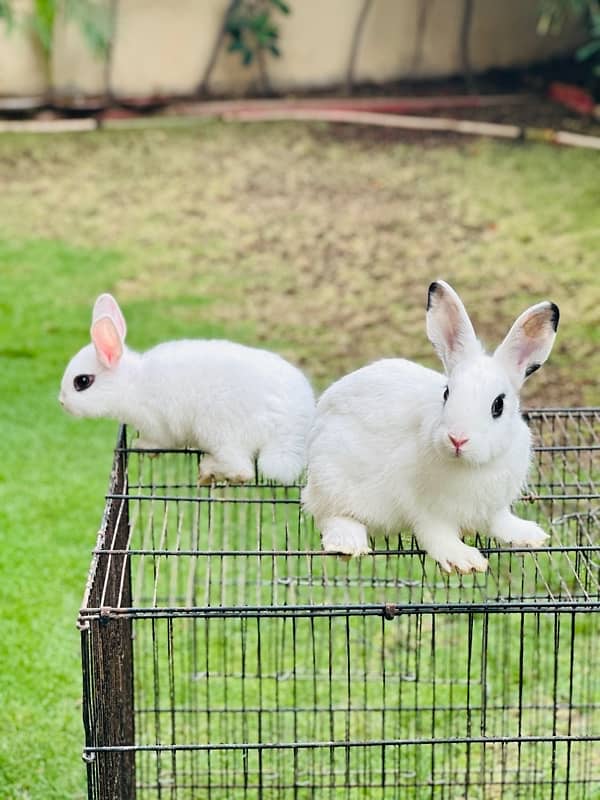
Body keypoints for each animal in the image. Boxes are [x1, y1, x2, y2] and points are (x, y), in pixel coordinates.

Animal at [58, 292, 316, 484]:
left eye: (82, 382)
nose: (62, 402)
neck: (132, 384)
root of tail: (294, 423)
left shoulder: (156, 424)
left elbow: (158, 441)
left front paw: (141, 446)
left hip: (217, 429)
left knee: (243, 470)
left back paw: (209, 470)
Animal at [304, 278, 564, 572]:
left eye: (498, 405)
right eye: (447, 393)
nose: (457, 439)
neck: (474, 467)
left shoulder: (493, 508)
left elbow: (499, 522)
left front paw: (531, 535)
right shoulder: (426, 510)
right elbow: (436, 535)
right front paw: (464, 560)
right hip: (333, 478)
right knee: (331, 515)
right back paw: (348, 544)